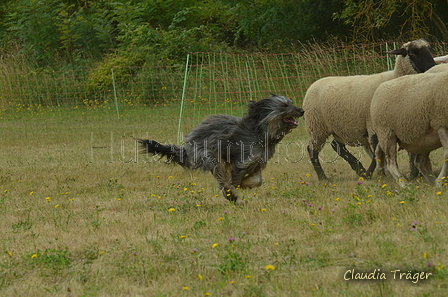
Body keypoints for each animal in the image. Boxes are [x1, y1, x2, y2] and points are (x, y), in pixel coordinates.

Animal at [138, 95, 302, 204]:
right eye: (284, 106)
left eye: (291, 103)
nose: (302, 111)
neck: (260, 131)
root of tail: (188, 142)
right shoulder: (243, 160)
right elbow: (235, 179)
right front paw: (235, 189)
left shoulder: (257, 162)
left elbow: (257, 180)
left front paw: (246, 184)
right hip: (209, 155)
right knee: (221, 178)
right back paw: (231, 196)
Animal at [300, 38, 434, 180]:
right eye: (412, 53)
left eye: (429, 49)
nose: (432, 66)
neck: (394, 77)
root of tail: (313, 85)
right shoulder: (373, 123)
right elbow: (377, 149)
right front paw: (373, 173)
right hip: (316, 126)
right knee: (312, 150)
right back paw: (323, 177)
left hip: (338, 127)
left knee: (336, 145)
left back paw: (359, 169)